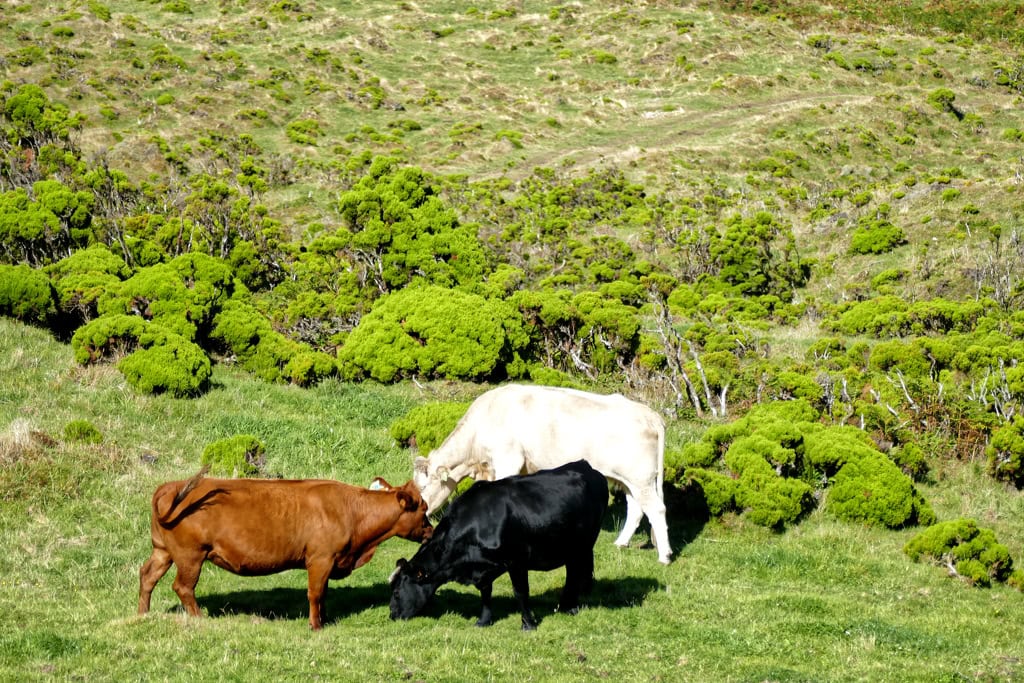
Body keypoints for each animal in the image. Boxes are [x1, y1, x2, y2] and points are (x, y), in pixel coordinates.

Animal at [137, 467, 433, 630]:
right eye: (424, 509)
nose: (431, 531)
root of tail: (171, 486)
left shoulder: (328, 562)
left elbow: (323, 594)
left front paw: (325, 619)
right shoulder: (320, 559)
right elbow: (315, 594)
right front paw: (315, 626)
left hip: (163, 551)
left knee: (147, 576)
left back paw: (142, 614)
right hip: (191, 555)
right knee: (183, 587)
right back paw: (200, 619)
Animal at [390, 460, 608, 631]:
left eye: (397, 591)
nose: (392, 615)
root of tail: (586, 466)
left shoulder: (516, 561)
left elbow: (521, 592)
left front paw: (528, 624)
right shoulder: (483, 568)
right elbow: (486, 593)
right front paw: (483, 621)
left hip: (582, 545)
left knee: (574, 572)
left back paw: (568, 606)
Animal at [411, 384, 671, 564]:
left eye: (422, 487)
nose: (424, 516)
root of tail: (650, 414)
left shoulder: (508, 459)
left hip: (640, 478)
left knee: (656, 509)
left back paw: (665, 556)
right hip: (628, 480)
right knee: (636, 509)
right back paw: (621, 543)